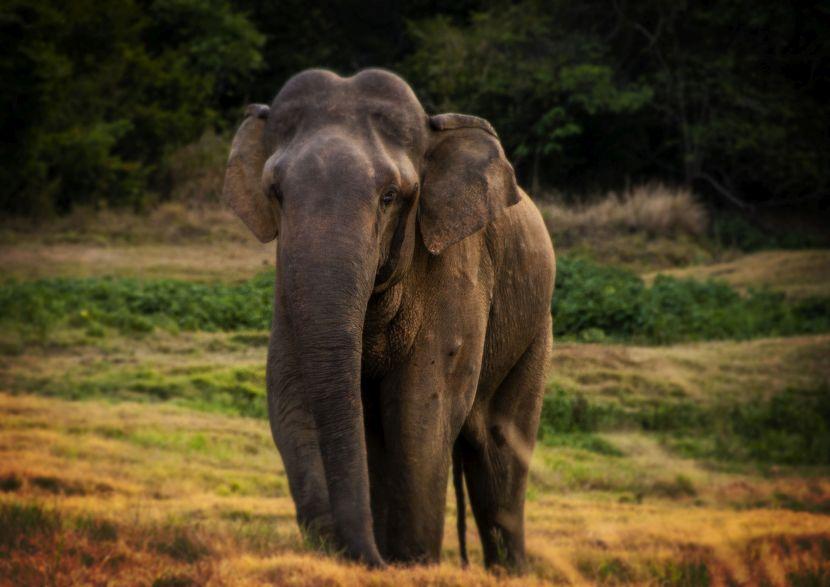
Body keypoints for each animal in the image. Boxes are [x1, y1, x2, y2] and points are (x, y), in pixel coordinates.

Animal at [224, 68, 556, 568]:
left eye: (389, 197)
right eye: (276, 194)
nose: (366, 557)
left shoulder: (456, 268)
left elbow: (421, 407)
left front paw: (414, 564)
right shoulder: (287, 278)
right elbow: (290, 391)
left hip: (536, 328)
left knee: (499, 449)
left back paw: (510, 570)